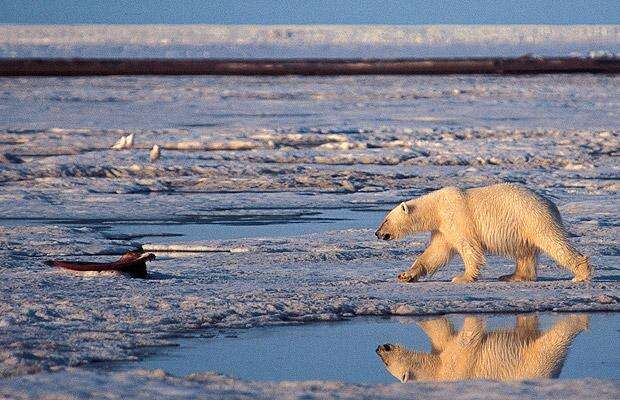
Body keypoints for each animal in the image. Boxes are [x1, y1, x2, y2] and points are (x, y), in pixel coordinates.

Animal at [372, 183, 592, 282]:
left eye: (385, 220)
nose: (377, 233)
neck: (437, 207)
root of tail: (551, 204)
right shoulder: (443, 229)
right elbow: (436, 253)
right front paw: (405, 275)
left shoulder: (457, 218)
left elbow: (468, 247)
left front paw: (462, 277)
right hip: (523, 227)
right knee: (524, 252)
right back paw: (513, 276)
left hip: (533, 218)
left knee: (553, 242)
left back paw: (580, 274)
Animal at [376, 314, 588, 382]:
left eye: (386, 363)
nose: (378, 348)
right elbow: (441, 334)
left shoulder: (458, 364)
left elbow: (467, 339)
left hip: (534, 362)